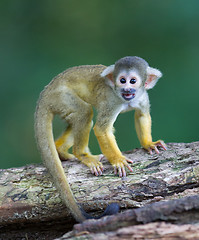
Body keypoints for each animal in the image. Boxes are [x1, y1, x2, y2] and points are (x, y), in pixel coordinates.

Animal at [34, 56, 166, 223]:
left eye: (133, 81)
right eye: (122, 80)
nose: (127, 89)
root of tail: (46, 91)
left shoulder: (142, 96)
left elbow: (142, 115)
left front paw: (149, 144)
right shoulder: (111, 101)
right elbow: (101, 129)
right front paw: (118, 160)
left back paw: (60, 150)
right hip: (60, 97)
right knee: (84, 112)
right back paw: (82, 155)